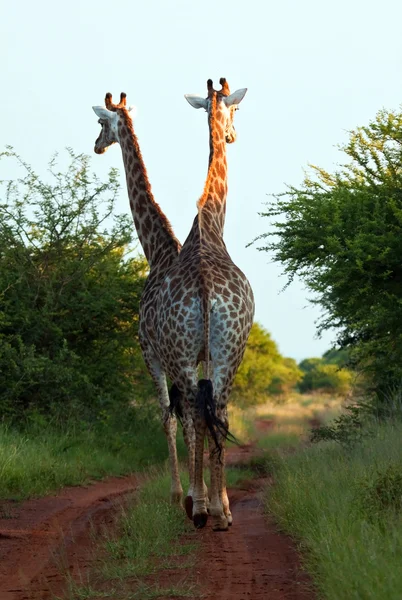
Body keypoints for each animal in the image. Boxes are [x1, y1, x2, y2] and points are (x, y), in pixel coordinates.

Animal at [92, 77, 253, 532]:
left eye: (100, 124)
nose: (96, 145)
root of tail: (204, 288)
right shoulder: (180, 354)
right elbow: (187, 417)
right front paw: (204, 499)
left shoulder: (152, 351)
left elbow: (169, 415)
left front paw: (181, 496)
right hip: (225, 351)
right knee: (215, 411)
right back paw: (218, 511)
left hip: (188, 354)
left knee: (195, 413)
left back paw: (200, 508)